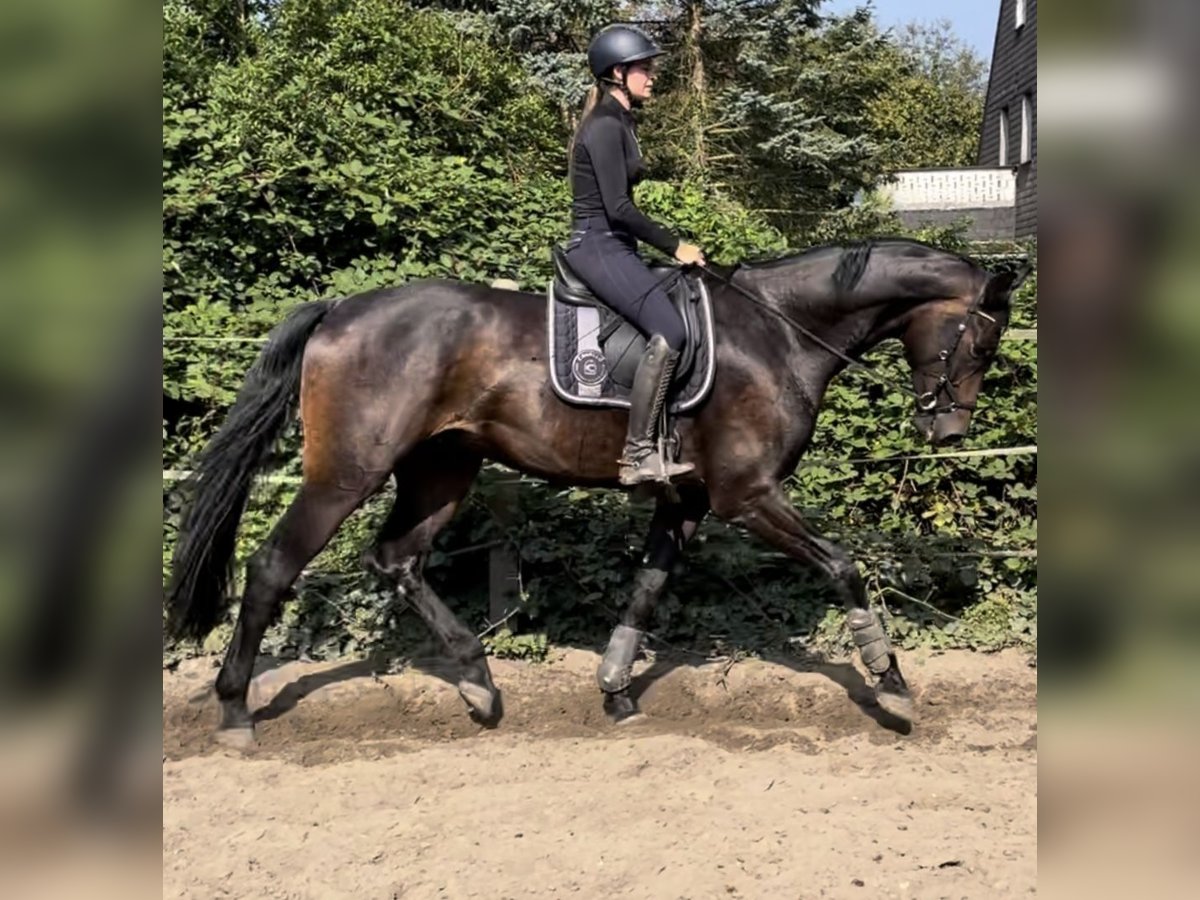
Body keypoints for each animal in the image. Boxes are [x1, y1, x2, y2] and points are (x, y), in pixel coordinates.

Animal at [166, 236, 1032, 744]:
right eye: (982, 340)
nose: (946, 431)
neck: (777, 332)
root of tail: (341, 309)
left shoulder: (687, 500)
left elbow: (647, 588)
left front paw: (614, 690)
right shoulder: (746, 494)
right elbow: (844, 566)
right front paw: (892, 687)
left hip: (443, 468)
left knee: (397, 559)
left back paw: (478, 684)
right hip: (346, 472)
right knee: (273, 567)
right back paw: (236, 711)